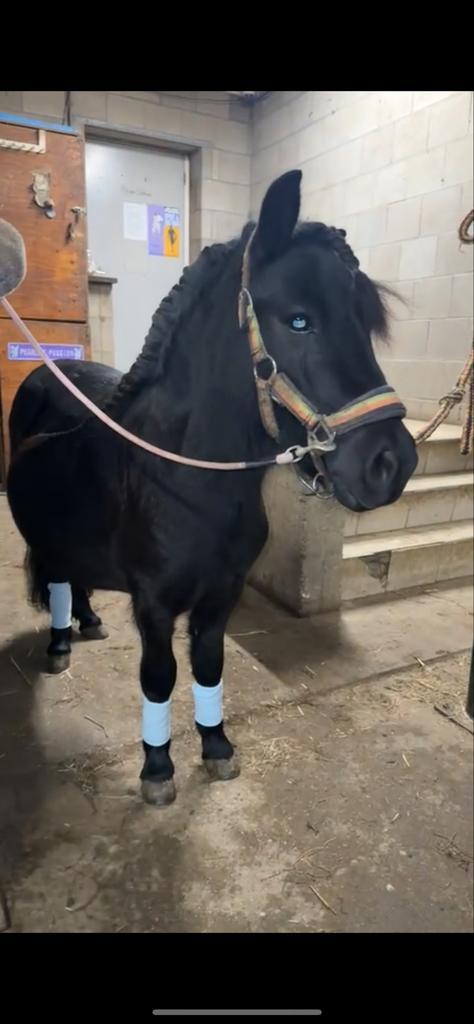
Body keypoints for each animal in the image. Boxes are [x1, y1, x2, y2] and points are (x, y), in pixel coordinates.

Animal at [6, 170, 417, 806]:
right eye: (299, 319)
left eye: (365, 322)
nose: (391, 464)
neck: (189, 484)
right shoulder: (154, 605)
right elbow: (160, 677)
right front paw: (157, 769)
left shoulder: (221, 596)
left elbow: (207, 667)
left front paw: (217, 748)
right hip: (45, 536)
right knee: (54, 579)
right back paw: (59, 644)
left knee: (76, 579)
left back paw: (90, 621)